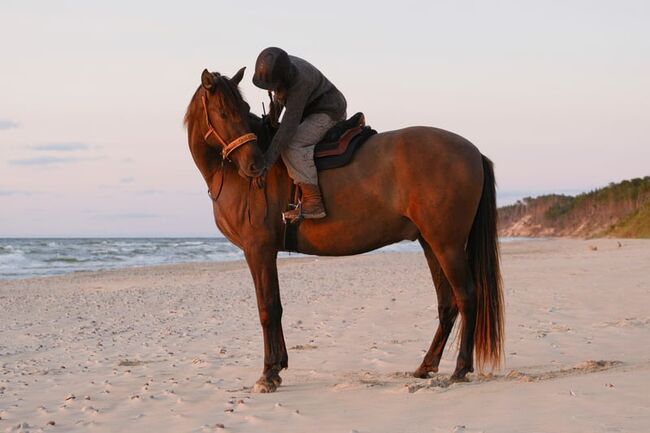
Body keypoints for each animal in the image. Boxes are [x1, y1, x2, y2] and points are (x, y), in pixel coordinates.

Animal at [185, 66, 504, 392]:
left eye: (242, 109)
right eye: (223, 112)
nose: (254, 165)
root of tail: (473, 152)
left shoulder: (259, 250)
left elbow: (268, 308)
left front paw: (269, 373)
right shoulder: (263, 252)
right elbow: (276, 307)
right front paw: (279, 365)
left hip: (447, 245)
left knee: (467, 297)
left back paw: (460, 368)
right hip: (431, 244)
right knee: (447, 304)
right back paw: (426, 366)